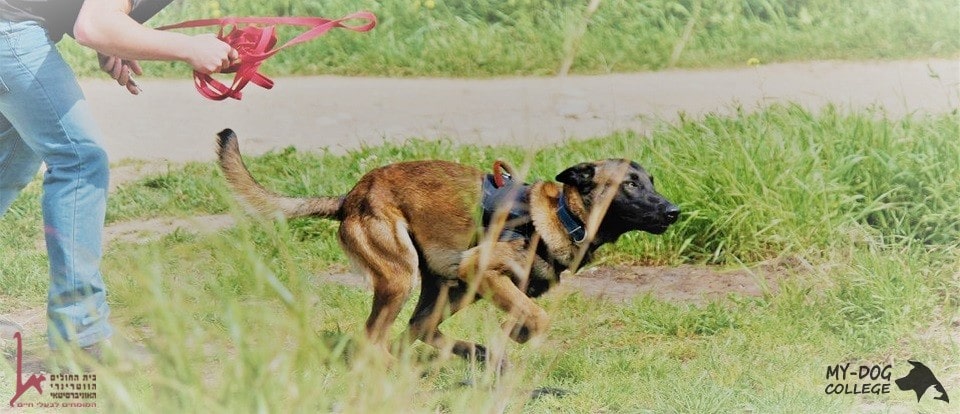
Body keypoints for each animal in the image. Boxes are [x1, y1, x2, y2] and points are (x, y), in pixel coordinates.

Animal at [215, 129, 680, 362]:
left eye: (651, 181)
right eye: (630, 185)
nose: (675, 211)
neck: (563, 215)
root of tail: (350, 197)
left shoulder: (482, 282)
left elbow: (524, 315)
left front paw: (507, 339)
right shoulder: (481, 269)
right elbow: (538, 317)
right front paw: (518, 336)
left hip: (448, 288)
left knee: (416, 328)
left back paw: (467, 353)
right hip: (403, 277)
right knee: (376, 338)